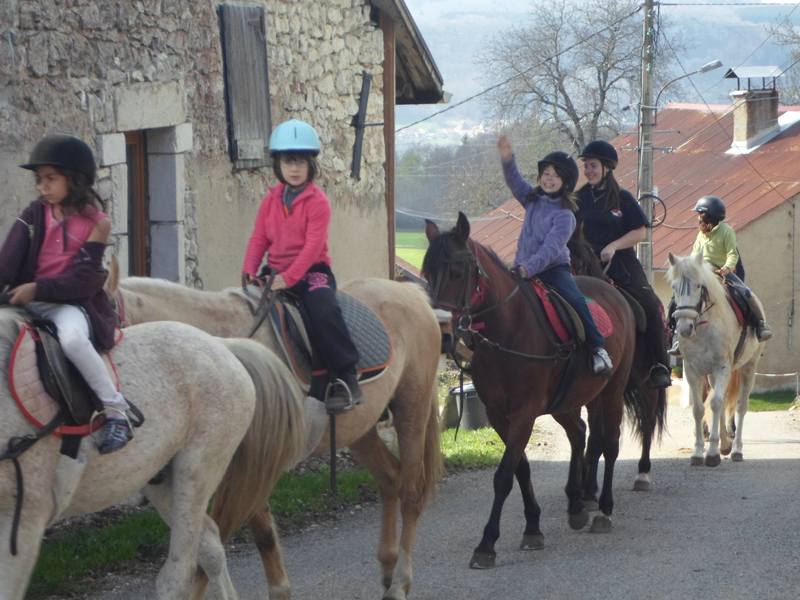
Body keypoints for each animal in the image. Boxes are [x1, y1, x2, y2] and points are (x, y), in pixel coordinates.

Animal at [0, 310, 306, 600]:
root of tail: (221, 345)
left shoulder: (24, 523)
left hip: (196, 471)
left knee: (178, 575)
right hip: (161, 479)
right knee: (210, 547)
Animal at [104, 270, 444, 600]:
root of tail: (411, 294)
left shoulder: (247, 467)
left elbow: (230, 536)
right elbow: (246, 537)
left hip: (411, 411)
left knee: (410, 494)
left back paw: (399, 583)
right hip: (360, 431)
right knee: (390, 479)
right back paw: (387, 570)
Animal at [422, 213, 636, 568]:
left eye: (456, 272)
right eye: (427, 274)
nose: (443, 336)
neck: (509, 329)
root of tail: (615, 294)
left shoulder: (525, 412)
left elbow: (504, 475)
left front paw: (486, 544)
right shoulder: (499, 414)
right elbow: (520, 468)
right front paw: (533, 527)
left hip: (612, 392)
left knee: (610, 443)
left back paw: (603, 509)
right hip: (566, 402)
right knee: (579, 433)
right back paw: (576, 505)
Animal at [664, 252, 764, 464]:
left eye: (698, 286)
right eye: (674, 287)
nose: (684, 328)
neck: (704, 327)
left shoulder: (722, 367)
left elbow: (716, 404)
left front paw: (711, 454)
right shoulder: (692, 370)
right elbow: (699, 409)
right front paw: (698, 452)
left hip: (748, 367)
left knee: (741, 406)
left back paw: (736, 450)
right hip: (711, 374)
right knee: (724, 401)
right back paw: (725, 445)